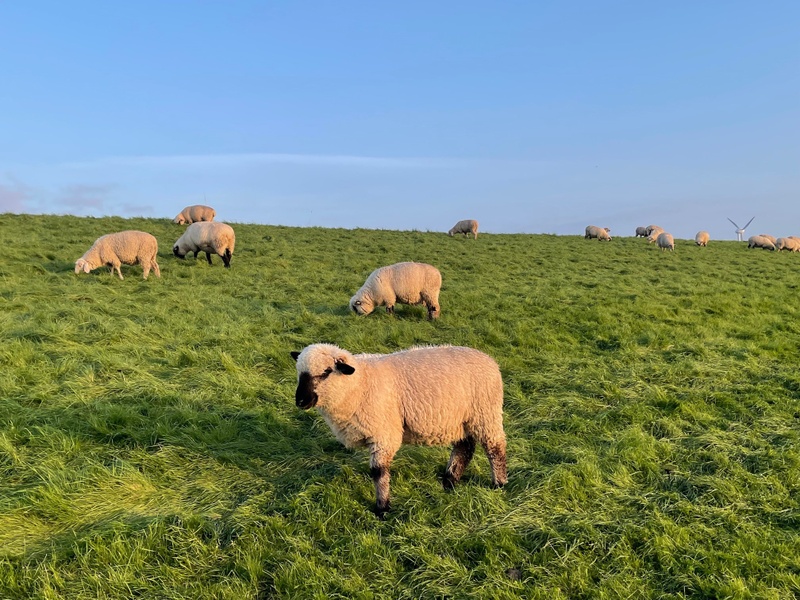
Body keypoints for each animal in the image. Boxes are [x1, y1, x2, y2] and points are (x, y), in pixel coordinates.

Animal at [291, 343, 507, 516]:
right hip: (461, 421)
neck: (360, 383)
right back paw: (450, 481)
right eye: (299, 373)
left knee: (495, 448)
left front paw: (382, 508)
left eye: (326, 371)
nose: (300, 401)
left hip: (485, 414)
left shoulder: (384, 434)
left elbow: (378, 472)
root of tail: (490, 360)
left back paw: (499, 484)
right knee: (464, 449)